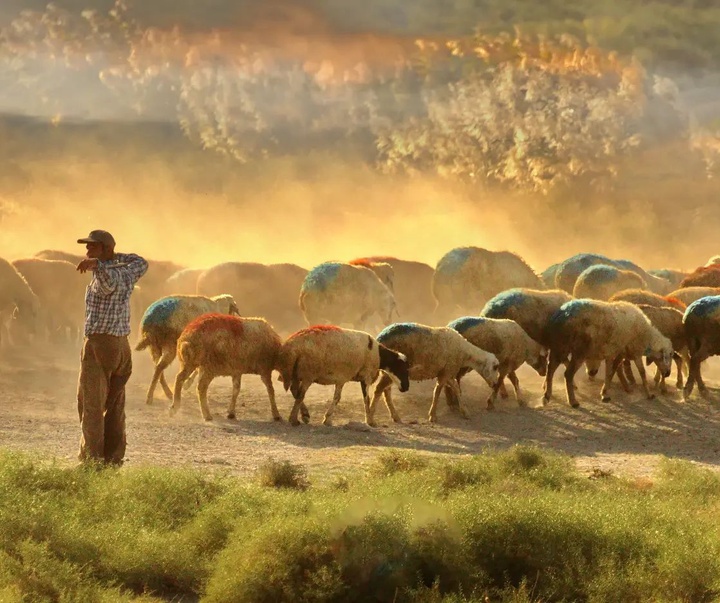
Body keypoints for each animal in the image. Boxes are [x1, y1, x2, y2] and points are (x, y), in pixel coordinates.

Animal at [278, 324, 410, 428]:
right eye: (403, 368)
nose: (406, 387)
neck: (379, 355)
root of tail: (292, 345)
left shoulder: (342, 379)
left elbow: (338, 398)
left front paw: (327, 420)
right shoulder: (365, 376)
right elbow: (365, 399)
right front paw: (370, 422)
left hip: (295, 372)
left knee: (294, 390)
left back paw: (304, 415)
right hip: (308, 373)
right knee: (300, 394)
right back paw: (294, 419)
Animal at [368, 326, 498, 424]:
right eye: (495, 367)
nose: (495, 384)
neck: (465, 353)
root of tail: (379, 338)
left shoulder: (447, 373)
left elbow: (456, 389)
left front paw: (464, 412)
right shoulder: (445, 373)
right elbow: (437, 392)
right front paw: (432, 416)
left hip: (390, 374)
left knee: (386, 391)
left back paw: (395, 416)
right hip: (392, 371)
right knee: (378, 389)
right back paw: (371, 418)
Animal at [544, 300, 676, 408]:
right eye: (669, 355)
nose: (668, 373)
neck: (646, 336)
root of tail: (562, 314)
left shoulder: (617, 353)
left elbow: (611, 371)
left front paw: (605, 392)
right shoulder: (633, 353)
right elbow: (641, 372)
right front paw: (649, 394)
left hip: (560, 347)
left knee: (550, 369)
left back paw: (547, 395)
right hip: (579, 352)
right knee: (568, 374)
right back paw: (573, 401)